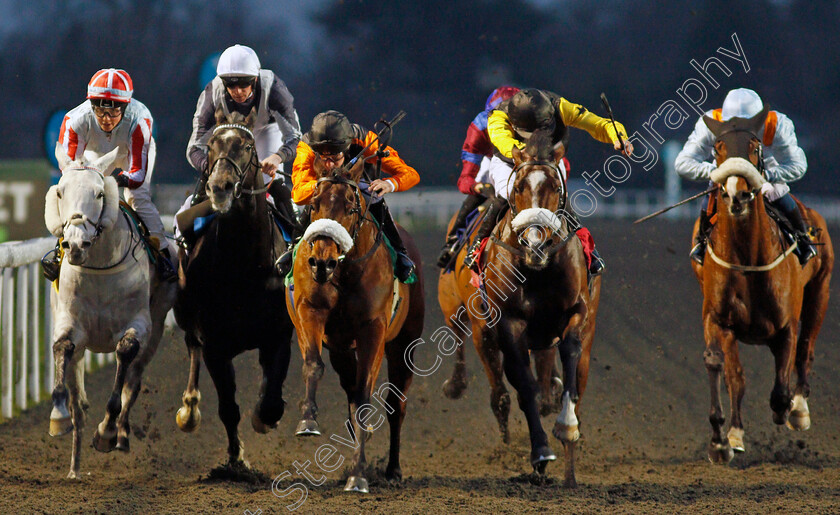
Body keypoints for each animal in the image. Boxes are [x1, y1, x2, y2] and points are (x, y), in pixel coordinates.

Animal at [46, 146, 177, 480]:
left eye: (99, 194)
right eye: (61, 192)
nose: (75, 245)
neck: (99, 266)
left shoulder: (140, 324)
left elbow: (126, 354)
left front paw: (106, 432)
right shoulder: (70, 322)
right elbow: (62, 349)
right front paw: (58, 416)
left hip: (157, 326)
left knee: (135, 377)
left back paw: (121, 435)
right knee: (79, 401)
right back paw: (74, 467)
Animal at [171, 109, 296, 472]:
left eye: (247, 146)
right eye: (211, 145)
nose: (220, 187)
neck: (243, 265)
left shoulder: (279, 335)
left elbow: (270, 400)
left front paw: (265, 419)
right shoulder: (215, 344)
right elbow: (228, 408)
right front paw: (235, 459)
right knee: (192, 347)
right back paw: (189, 410)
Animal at [286, 156, 424, 492]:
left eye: (350, 208)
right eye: (314, 205)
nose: (322, 262)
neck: (345, 271)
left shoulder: (373, 329)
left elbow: (363, 396)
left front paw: (358, 475)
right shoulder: (310, 310)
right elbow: (314, 365)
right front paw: (308, 420)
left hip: (405, 342)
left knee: (396, 403)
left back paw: (392, 469)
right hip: (342, 348)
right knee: (349, 389)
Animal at [442, 130, 600, 488]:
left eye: (555, 187)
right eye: (517, 189)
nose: (535, 244)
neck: (536, 269)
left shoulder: (577, 311)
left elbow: (570, 358)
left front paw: (567, 426)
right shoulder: (508, 324)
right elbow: (524, 387)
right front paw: (540, 452)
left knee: (573, 379)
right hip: (472, 323)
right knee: (496, 389)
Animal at [688, 107, 832, 466]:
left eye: (755, 147)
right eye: (718, 148)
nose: (737, 193)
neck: (747, 258)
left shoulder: (786, 325)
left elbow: (782, 385)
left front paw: (788, 410)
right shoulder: (719, 320)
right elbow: (728, 372)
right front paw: (724, 440)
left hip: (820, 294)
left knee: (806, 350)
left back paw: (799, 410)